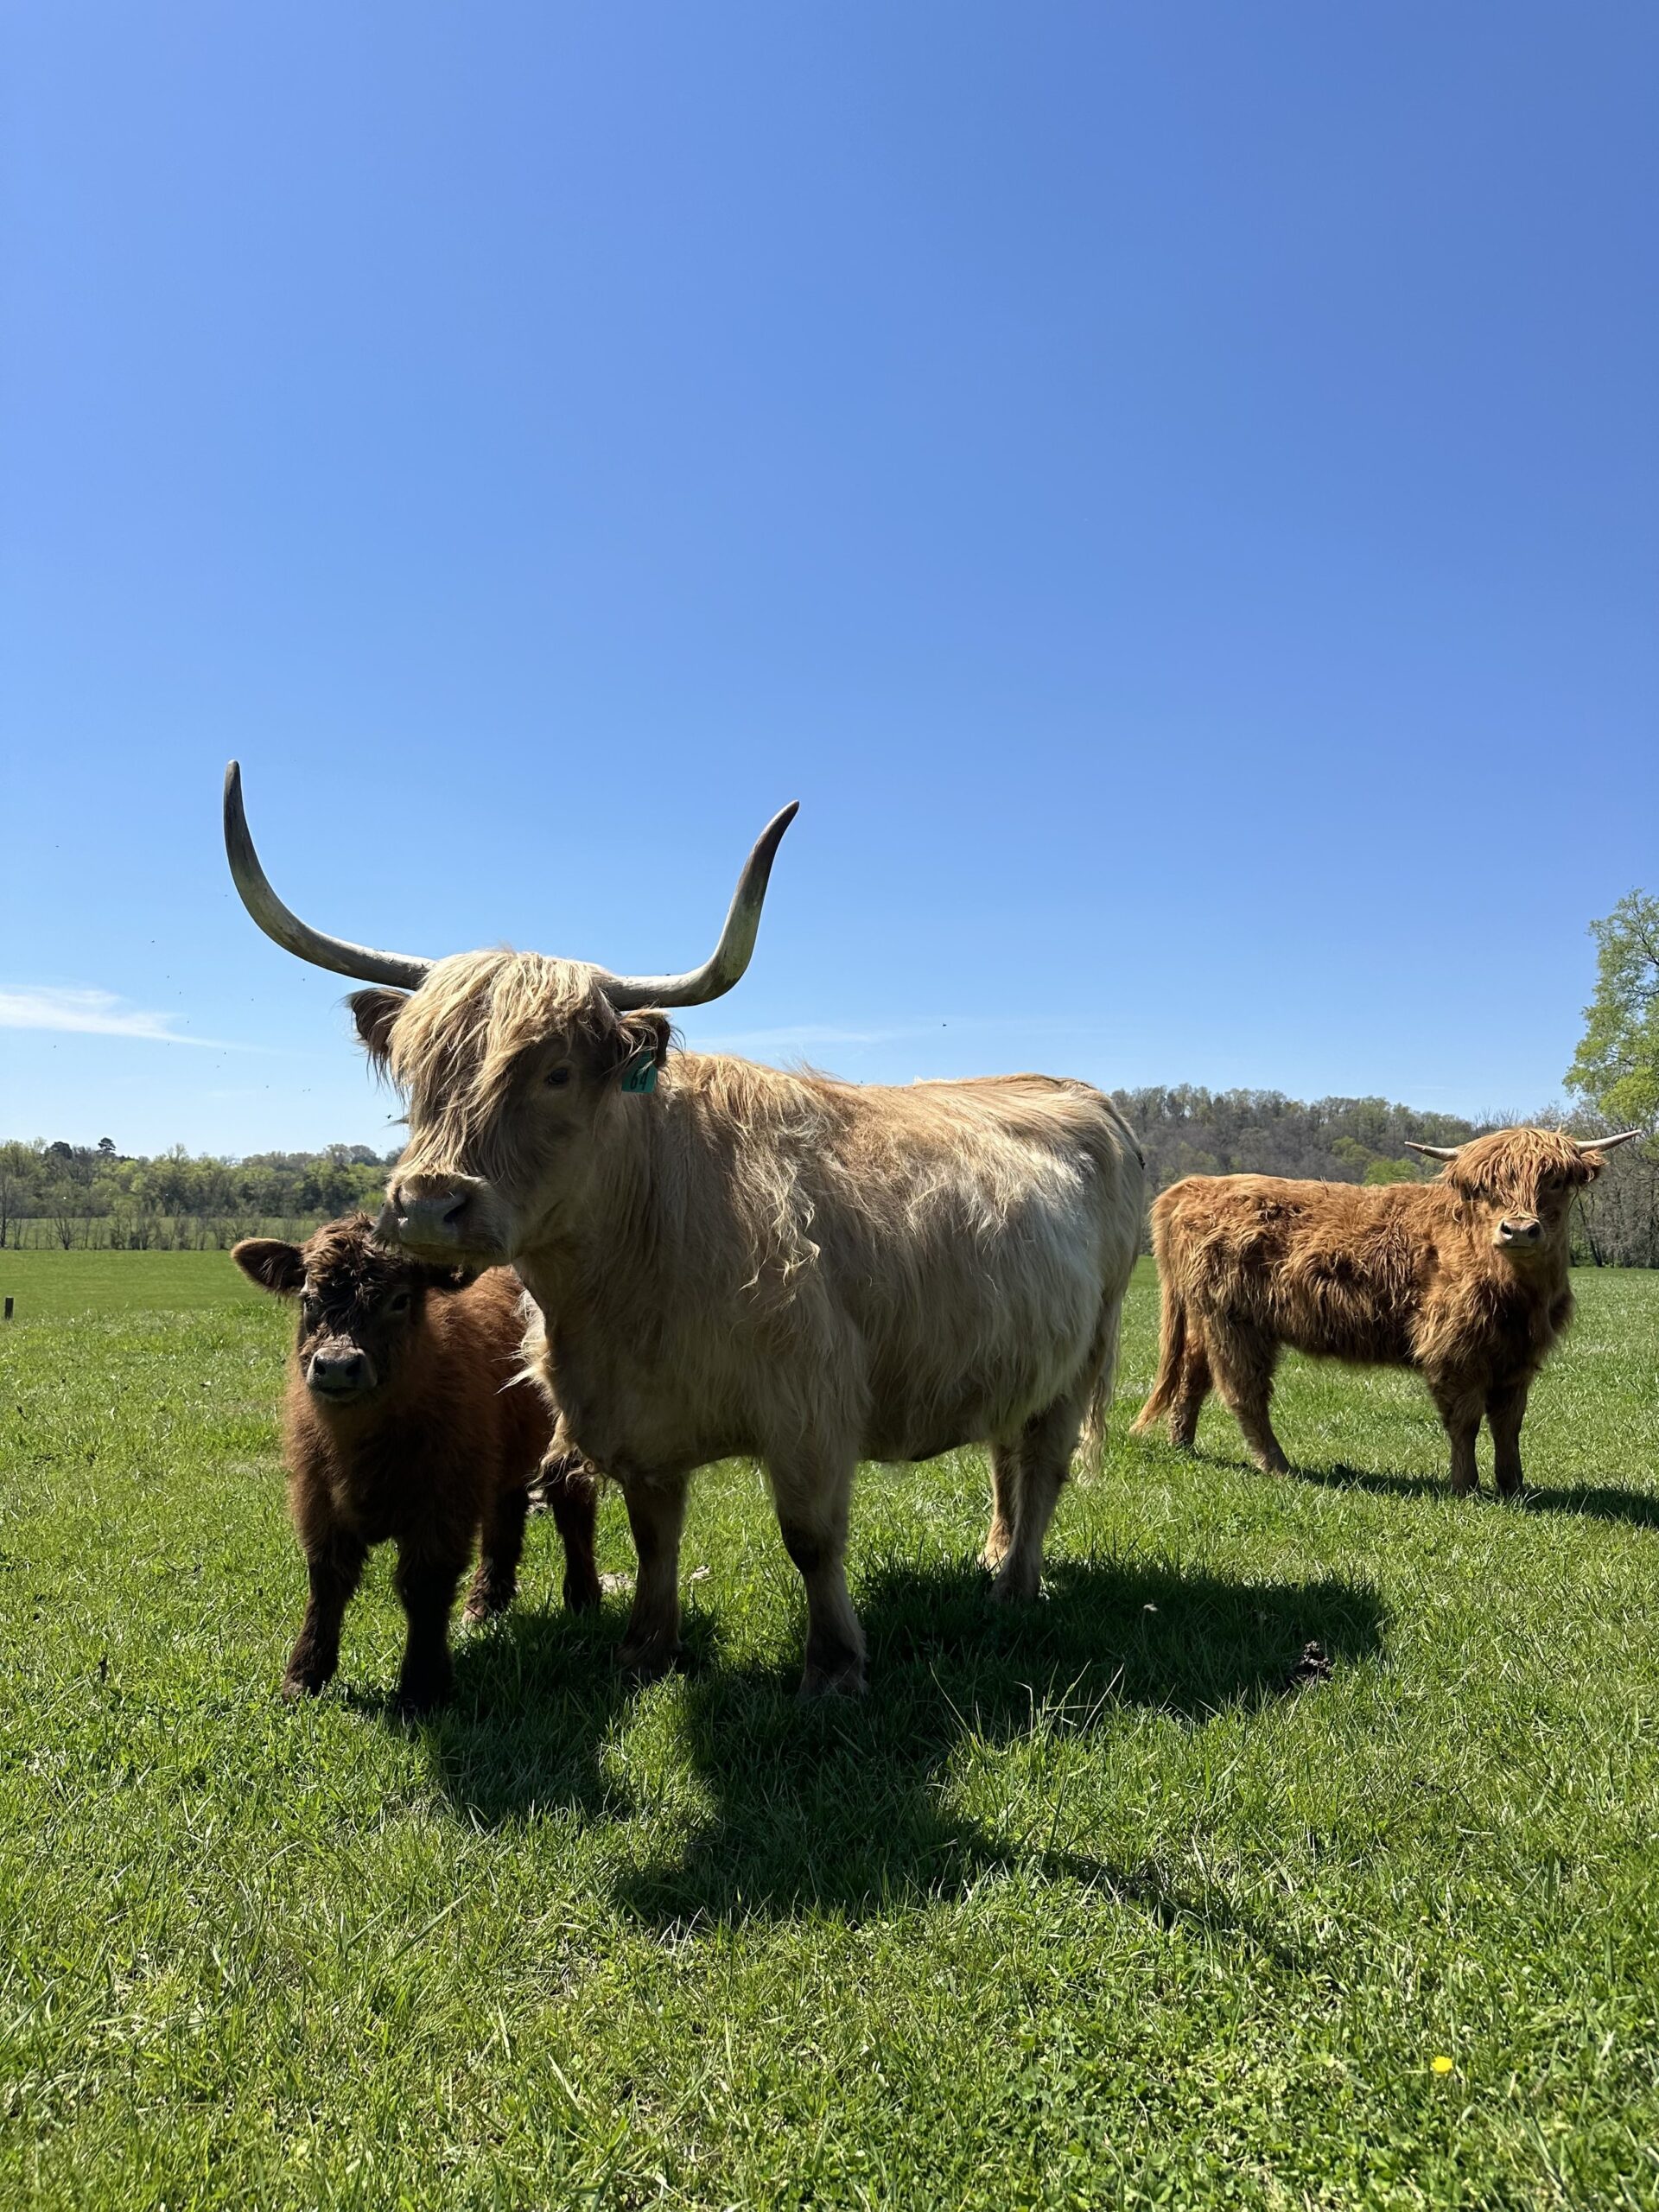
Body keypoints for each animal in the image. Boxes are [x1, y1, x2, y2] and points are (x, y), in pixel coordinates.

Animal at [233, 1213, 603, 1711]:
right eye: (309, 1299)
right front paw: (304, 1676)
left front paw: (422, 1688)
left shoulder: (441, 1507)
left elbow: (423, 1586)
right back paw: (485, 1603)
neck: (362, 1446)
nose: (337, 1365)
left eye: (399, 1299)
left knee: (573, 1515)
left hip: (566, 1447)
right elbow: (327, 1582)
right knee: (505, 1516)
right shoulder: (319, 1501)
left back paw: (582, 1598)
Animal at [1131, 1126, 1640, 1495]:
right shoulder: (1453, 1350)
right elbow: (1466, 1420)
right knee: (1243, 1393)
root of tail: (1196, 1186)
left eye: (1554, 1182)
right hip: (1234, 1322)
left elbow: (1509, 1423)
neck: (1519, 1295)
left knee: (1193, 1375)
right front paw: (1465, 1487)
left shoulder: (1517, 1357)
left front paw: (1514, 1486)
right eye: (1482, 1188)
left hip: (1208, 1320)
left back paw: (1183, 1445)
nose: (1518, 1230)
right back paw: (1278, 1466)